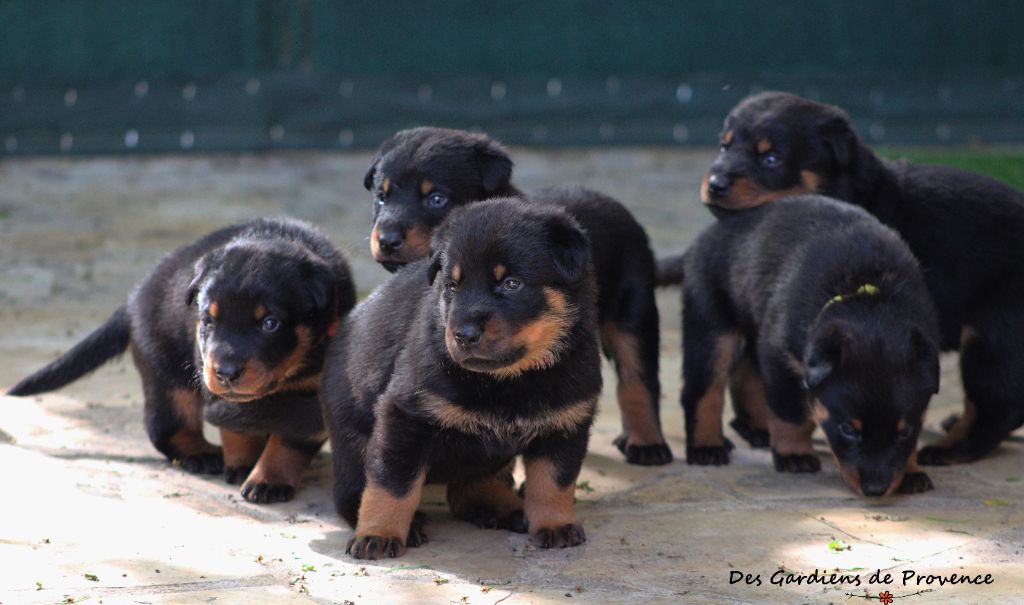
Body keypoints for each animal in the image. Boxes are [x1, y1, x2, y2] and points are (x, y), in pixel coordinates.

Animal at [8, 218, 356, 501]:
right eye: (209, 320)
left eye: (270, 323)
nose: (225, 372)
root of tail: (133, 299)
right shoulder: (208, 370)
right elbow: (237, 428)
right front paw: (243, 464)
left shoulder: (309, 394)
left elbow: (288, 441)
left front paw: (269, 479)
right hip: (168, 374)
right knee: (167, 427)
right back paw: (200, 453)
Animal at [321, 201, 598, 560]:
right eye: (452, 286)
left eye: (511, 284)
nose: (463, 334)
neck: (506, 380)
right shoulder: (402, 416)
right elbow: (391, 483)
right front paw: (378, 533)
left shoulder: (567, 423)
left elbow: (554, 481)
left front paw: (555, 523)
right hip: (351, 439)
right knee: (352, 492)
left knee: (470, 488)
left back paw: (501, 505)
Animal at [360, 128, 671, 468]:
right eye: (381, 197)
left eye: (436, 198)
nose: (387, 240)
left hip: (632, 308)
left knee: (638, 377)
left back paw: (646, 442)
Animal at [684, 196, 937, 499]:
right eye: (847, 429)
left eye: (903, 431)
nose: (875, 490)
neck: (868, 294)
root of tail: (713, 230)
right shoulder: (781, 358)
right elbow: (790, 413)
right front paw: (794, 455)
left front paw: (911, 471)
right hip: (712, 326)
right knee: (704, 390)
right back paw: (707, 446)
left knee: (746, 375)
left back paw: (756, 429)